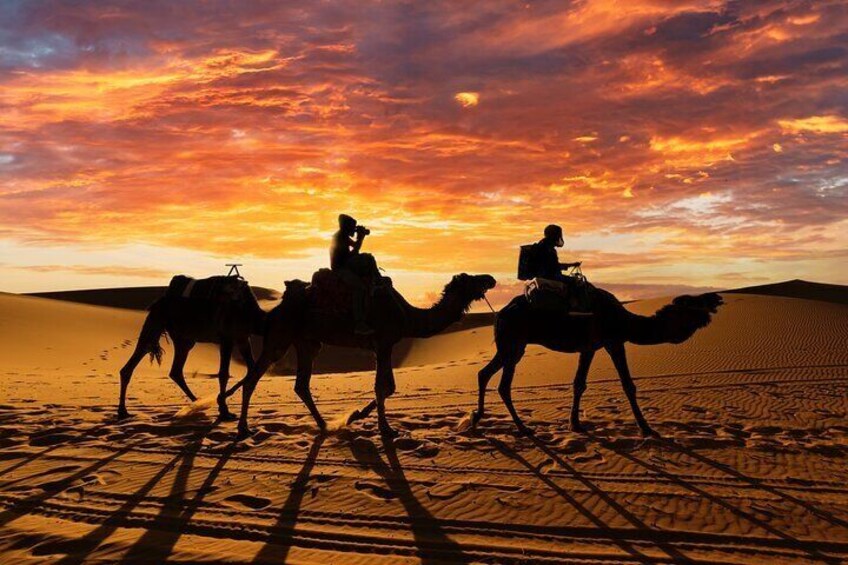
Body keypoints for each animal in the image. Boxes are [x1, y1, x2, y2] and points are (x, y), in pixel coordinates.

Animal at [117, 276, 266, 420]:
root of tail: (158, 301)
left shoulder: (243, 338)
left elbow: (252, 369)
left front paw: (221, 404)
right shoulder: (226, 338)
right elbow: (223, 374)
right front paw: (224, 411)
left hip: (184, 340)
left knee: (174, 371)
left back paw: (197, 403)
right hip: (156, 323)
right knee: (136, 360)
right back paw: (123, 411)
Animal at [225, 270, 496, 438]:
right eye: (471, 279)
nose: (491, 278)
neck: (408, 316)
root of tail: (274, 310)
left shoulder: (382, 346)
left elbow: (389, 386)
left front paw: (356, 415)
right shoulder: (384, 343)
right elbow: (383, 386)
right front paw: (384, 428)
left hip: (307, 342)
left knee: (301, 384)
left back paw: (325, 425)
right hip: (280, 337)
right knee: (252, 379)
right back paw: (243, 429)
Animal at [474, 286, 720, 436]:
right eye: (693, 302)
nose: (716, 299)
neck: (625, 321)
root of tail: (499, 314)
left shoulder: (589, 348)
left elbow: (579, 383)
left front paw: (575, 424)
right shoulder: (614, 341)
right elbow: (628, 385)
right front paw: (646, 428)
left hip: (509, 345)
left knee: (484, 373)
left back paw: (478, 418)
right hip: (514, 343)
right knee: (503, 385)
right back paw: (522, 428)